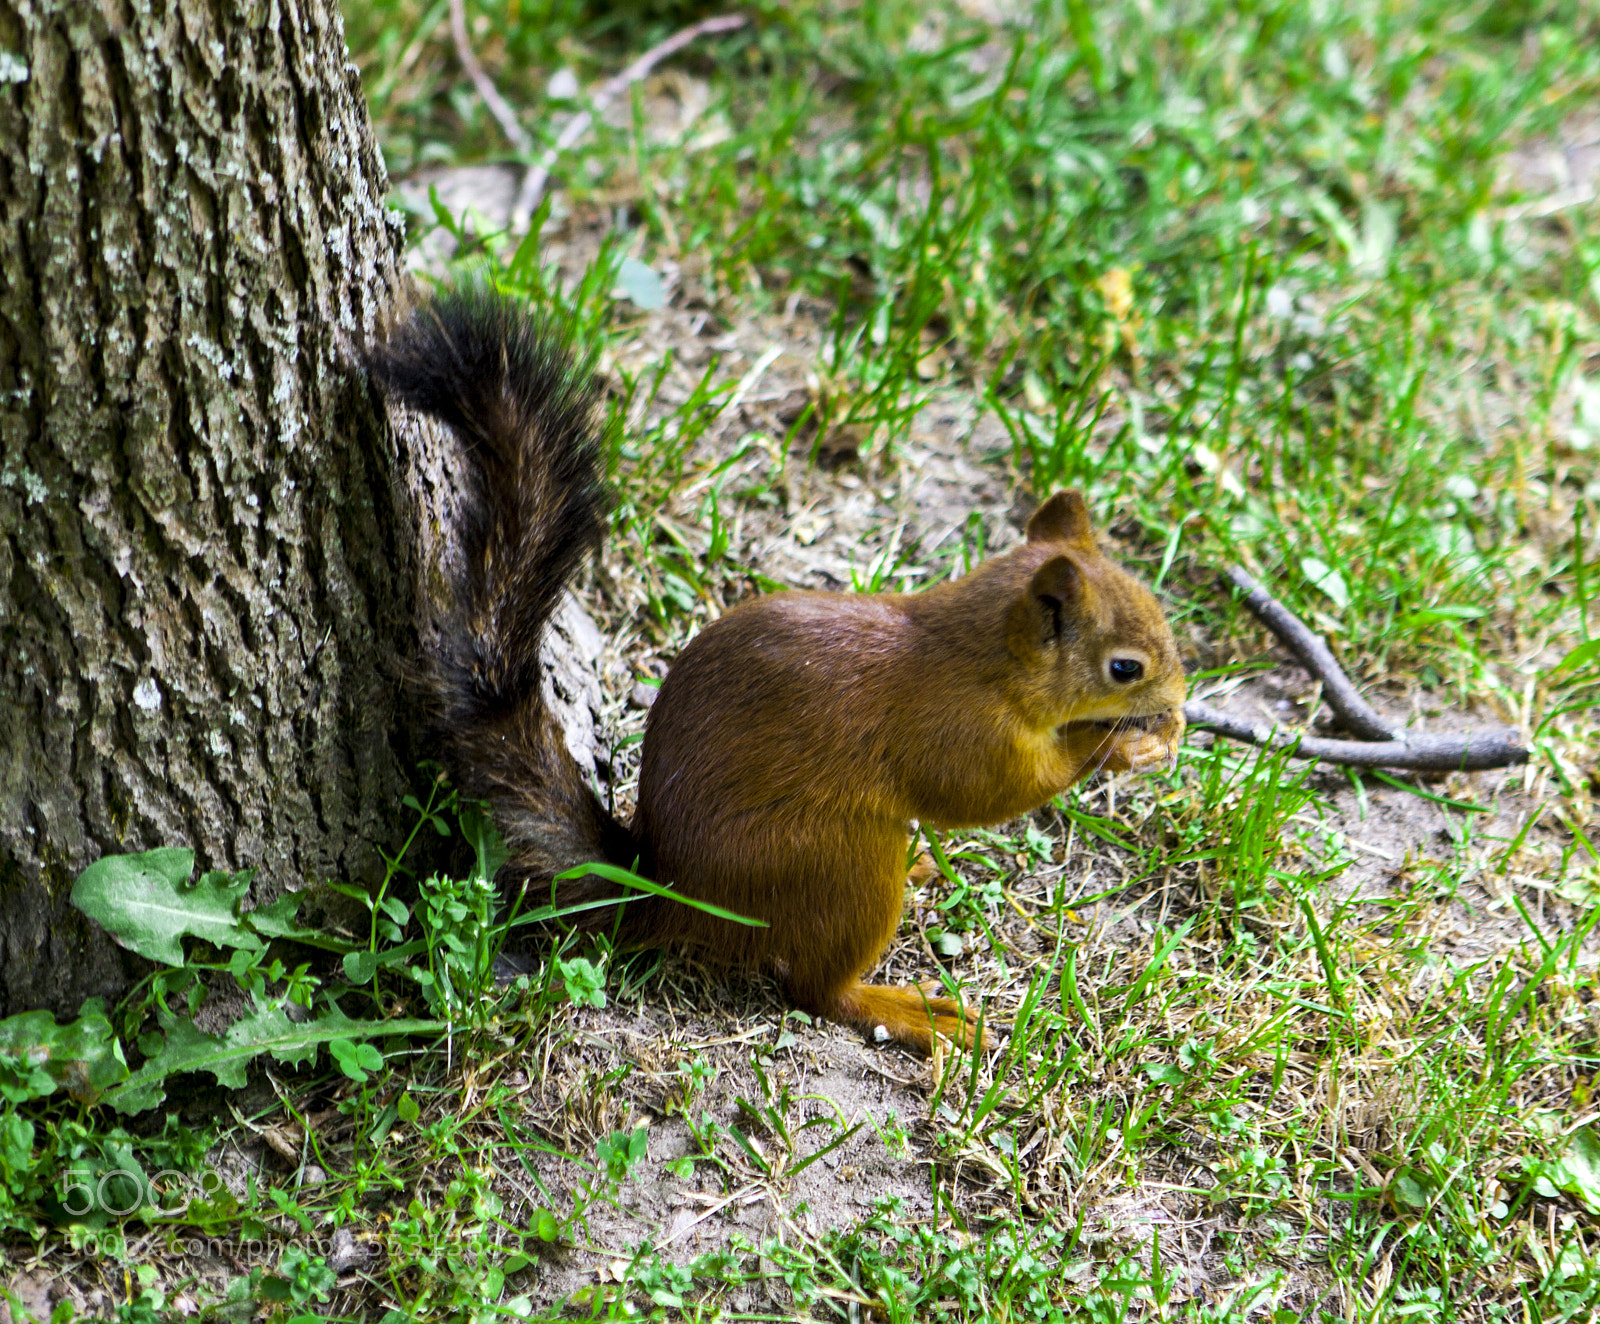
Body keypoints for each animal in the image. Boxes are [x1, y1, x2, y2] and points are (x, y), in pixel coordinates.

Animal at [367, 291, 1186, 1053]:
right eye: (1124, 667)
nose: (1181, 702)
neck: (977, 655)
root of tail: (675, 896)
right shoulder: (955, 729)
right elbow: (993, 793)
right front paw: (1117, 745)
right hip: (838, 864)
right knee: (819, 990)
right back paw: (910, 1010)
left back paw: (921, 871)